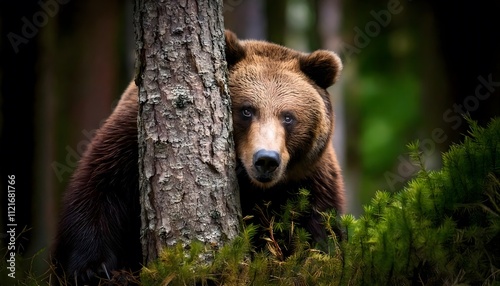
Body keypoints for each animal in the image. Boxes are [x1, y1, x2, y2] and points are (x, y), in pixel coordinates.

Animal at [51, 30, 344, 284]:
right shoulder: (130, 142)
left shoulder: (308, 179)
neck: (251, 185)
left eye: (288, 117)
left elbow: (320, 230)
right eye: (247, 110)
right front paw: (94, 270)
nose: (266, 160)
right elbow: (100, 189)